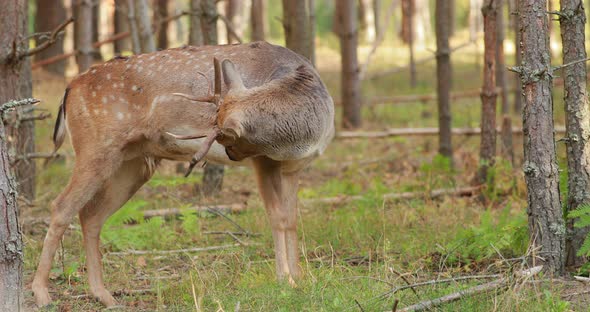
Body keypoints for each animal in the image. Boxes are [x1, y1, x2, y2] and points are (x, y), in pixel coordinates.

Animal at [32, 41, 336, 308]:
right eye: (223, 138)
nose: (229, 155)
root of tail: (70, 88)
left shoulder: (292, 167)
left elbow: (292, 219)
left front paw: (300, 278)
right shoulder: (265, 160)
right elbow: (278, 218)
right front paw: (285, 281)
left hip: (133, 163)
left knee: (90, 214)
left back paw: (104, 296)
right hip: (96, 146)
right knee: (61, 206)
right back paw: (42, 294)